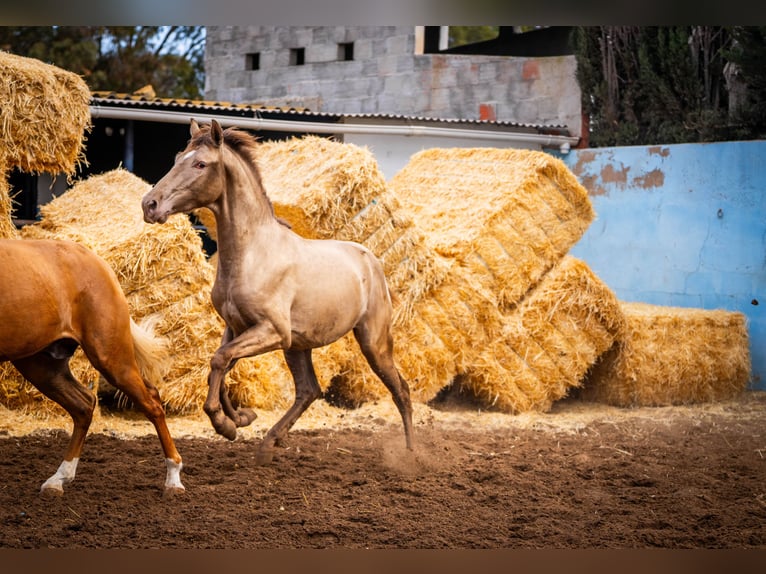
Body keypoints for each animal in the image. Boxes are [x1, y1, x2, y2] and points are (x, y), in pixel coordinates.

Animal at [0, 241, 184, 498]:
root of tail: (100, 263)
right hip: (41, 364)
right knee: (84, 405)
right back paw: (58, 479)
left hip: (110, 357)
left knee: (152, 402)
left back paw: (173, 480)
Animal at [140, 120, 412, 464]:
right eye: (178, 159)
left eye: (200, 164)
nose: (150, 204)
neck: (251, 253)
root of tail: (371, 261)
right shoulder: (236, 328)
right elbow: (220, 367)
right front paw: (241, 418)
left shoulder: (271, 331)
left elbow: (219, 361)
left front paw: (225, 424)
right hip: (298, 345)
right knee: (309, 390)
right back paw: (269, 442)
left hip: (372, 342)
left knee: (400, 390)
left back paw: (412, 454)